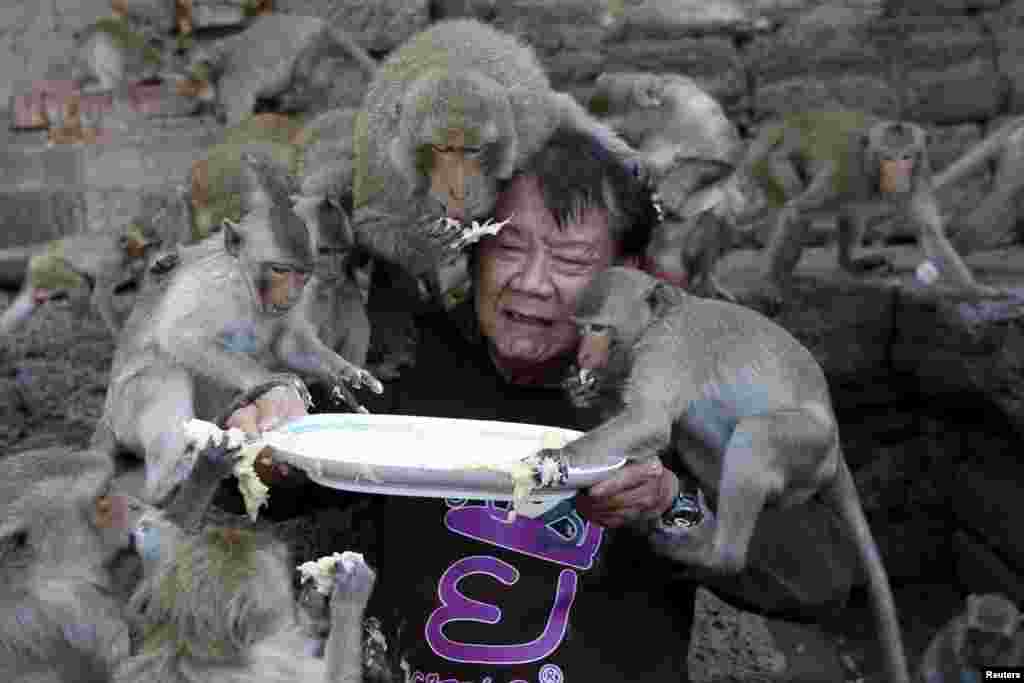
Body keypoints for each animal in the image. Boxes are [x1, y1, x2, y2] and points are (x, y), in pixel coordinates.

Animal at [0, 220, 164, 339]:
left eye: (157, 244)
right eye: (148, 246)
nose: (155, 252)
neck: (127, 251)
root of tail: (38, 254)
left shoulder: (138, 264)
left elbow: (141, 284)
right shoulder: (112, 264)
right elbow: (101, 296)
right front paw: (119, 334)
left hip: (42, 272)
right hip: (50, 266)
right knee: (80, 285)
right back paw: (79, 332)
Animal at [92, 149, 383, 509]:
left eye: (299, 273)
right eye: (279, 270)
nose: (290, 294)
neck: (246, 282)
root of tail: (108, 418)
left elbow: (289, 342)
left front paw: (344, 373)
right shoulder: (218, 285)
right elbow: (181, 337)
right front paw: (274, 381)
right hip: (127, 413)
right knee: (167, 373)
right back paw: (170, 481)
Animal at [350, 18, 637, 291]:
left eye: (474, 150)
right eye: (441, 148)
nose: (458, 192)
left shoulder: (530, 123)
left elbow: (558, 111)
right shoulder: (385, 166)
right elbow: (369, 220)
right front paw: (422, 245)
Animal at [526, 266, 910, 683]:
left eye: (599, 328)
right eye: (581, 328)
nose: (583, 353)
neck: (661, 316)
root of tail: (837, 447)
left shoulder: (667, 347)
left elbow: (649, 420)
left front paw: (552, 458)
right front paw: (583, 391)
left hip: (808, 445)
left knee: (755, 436)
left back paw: (715, 552)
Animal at [743, 109, 1003, 307]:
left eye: (906, 157)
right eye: (888, 158)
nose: (898, 174)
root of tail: (782, 123)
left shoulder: (919, 179)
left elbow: (929, 233)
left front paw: (974, 289)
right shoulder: (846, 176)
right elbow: (796, 210)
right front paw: (766, 282)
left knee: (851, 214)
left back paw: (848, 263)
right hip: (770, 164)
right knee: (796, 207)